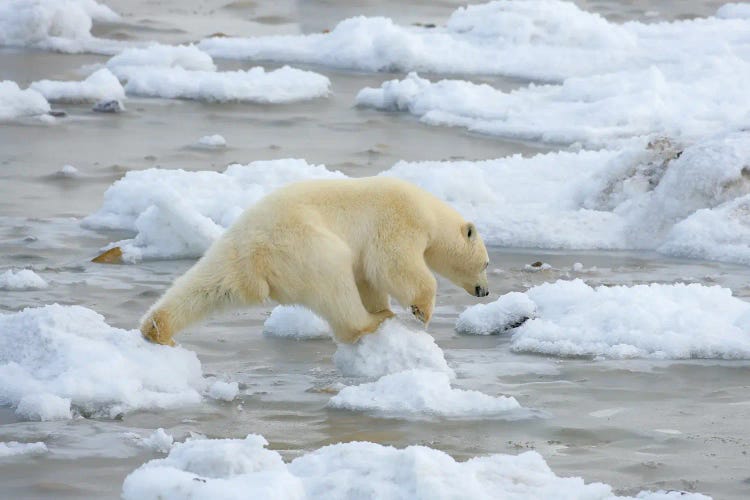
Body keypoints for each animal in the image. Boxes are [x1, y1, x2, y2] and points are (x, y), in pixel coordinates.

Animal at [140, 178, 494, 346]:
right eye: (487, 264)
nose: (485, 292)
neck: (429, 211)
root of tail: (256, 248)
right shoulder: (399, 219)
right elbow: (391, 263)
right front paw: (422, 310)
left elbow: (369, 277)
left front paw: (387, 304)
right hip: (306, 248)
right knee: (335, 285)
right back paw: (374, 319)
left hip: (232, 253)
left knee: (207, 286)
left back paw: (156, 328)